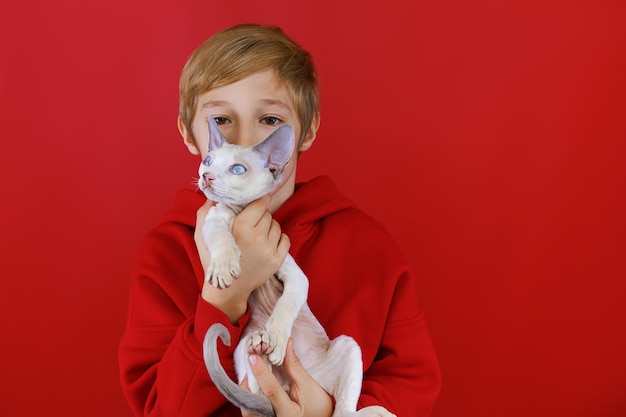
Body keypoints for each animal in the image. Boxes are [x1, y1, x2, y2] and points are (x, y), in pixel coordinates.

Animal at [200, 115, 394, 416]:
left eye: (237, 169)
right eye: (208, 161)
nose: (206, 176)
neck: (240, 214)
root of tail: (291, 384)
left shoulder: (295, 274)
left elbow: (287, 303)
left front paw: (278, 336)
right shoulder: (213, 220)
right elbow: (221, 238)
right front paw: (222, 265)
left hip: (348, 347)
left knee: (343, 411)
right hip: (241, 345)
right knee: (254, 382)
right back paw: (259, 346)